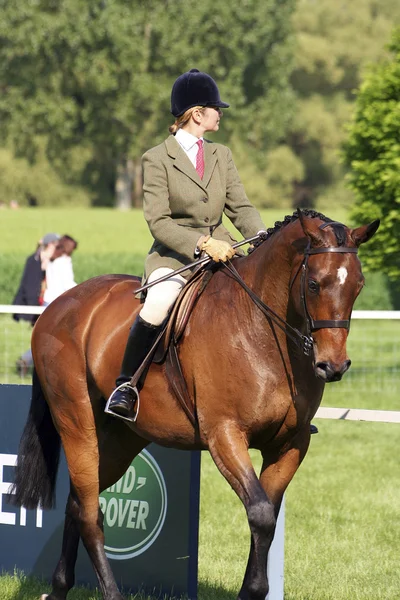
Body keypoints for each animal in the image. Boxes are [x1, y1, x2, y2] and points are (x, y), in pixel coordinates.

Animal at [11, 209, 378, 596]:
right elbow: (261, 514)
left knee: (79, 501)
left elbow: (267, 515)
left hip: (121, 439)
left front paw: (253, 589)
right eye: (314, 284)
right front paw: (252, 590)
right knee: (90, 511)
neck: (262, 331)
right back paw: (110, 593)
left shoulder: (291, 444)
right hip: (76, 423)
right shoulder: (225, 436)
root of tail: (58, 305)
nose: (333, 366)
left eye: (359, 285)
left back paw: (59, 588)